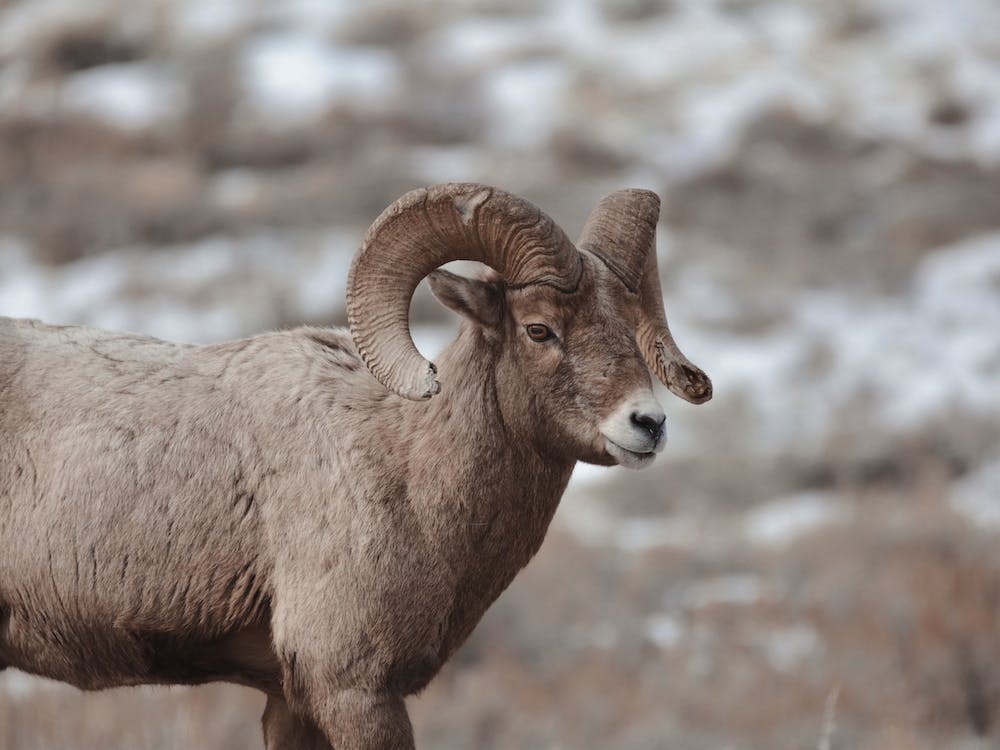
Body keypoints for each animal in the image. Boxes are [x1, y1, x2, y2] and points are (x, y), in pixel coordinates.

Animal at [0, 183, 711, 749]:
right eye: (539, 329)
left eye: (632, 323)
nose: (648, 424)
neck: (408, 470)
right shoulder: (354, 691)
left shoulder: (290, 700)